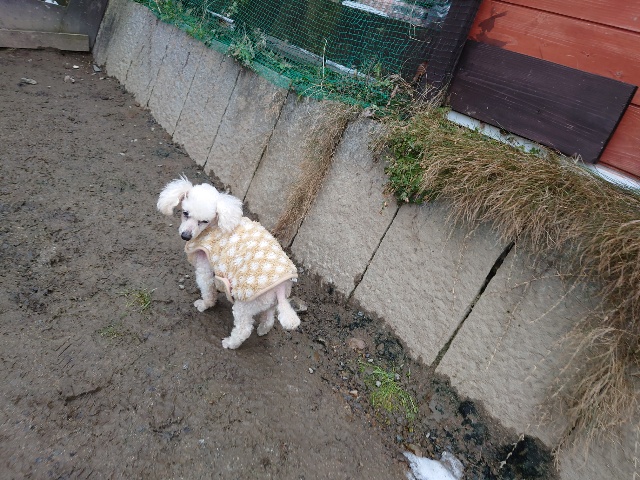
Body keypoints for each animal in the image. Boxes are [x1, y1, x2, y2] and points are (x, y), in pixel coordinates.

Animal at [157, 176, 301, 349]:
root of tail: (279, 287)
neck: (217, 223)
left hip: (245, 303)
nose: (185, 236)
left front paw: (205, 304)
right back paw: (262, 330)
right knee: (269, 318)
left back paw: (230, 343)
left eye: (204, 221)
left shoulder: (205, 266)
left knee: (244, 329)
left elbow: (207, 288)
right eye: (185, 213)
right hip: (270, 302)